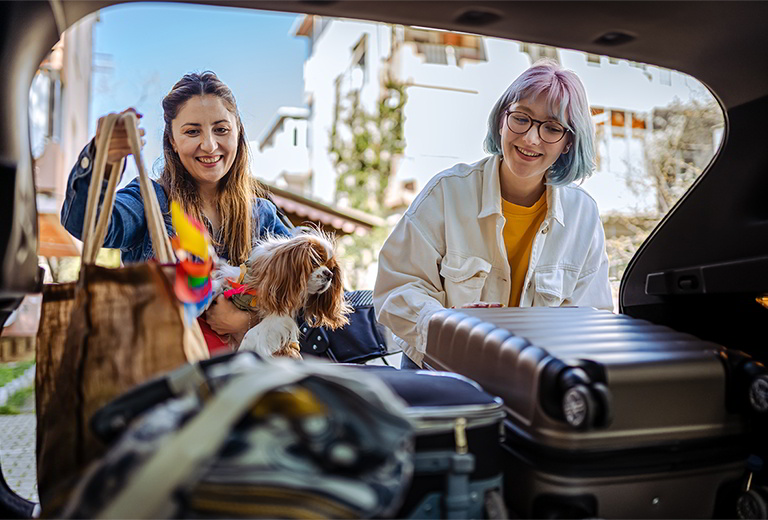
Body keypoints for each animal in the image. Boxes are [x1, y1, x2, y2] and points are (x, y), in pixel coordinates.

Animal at [212, 231, 352, 358]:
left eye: (331, 268)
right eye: (315, 261)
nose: (330, 275)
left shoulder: (280, 317)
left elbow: (251, 334)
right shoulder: (237, 280)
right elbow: (220, 280)